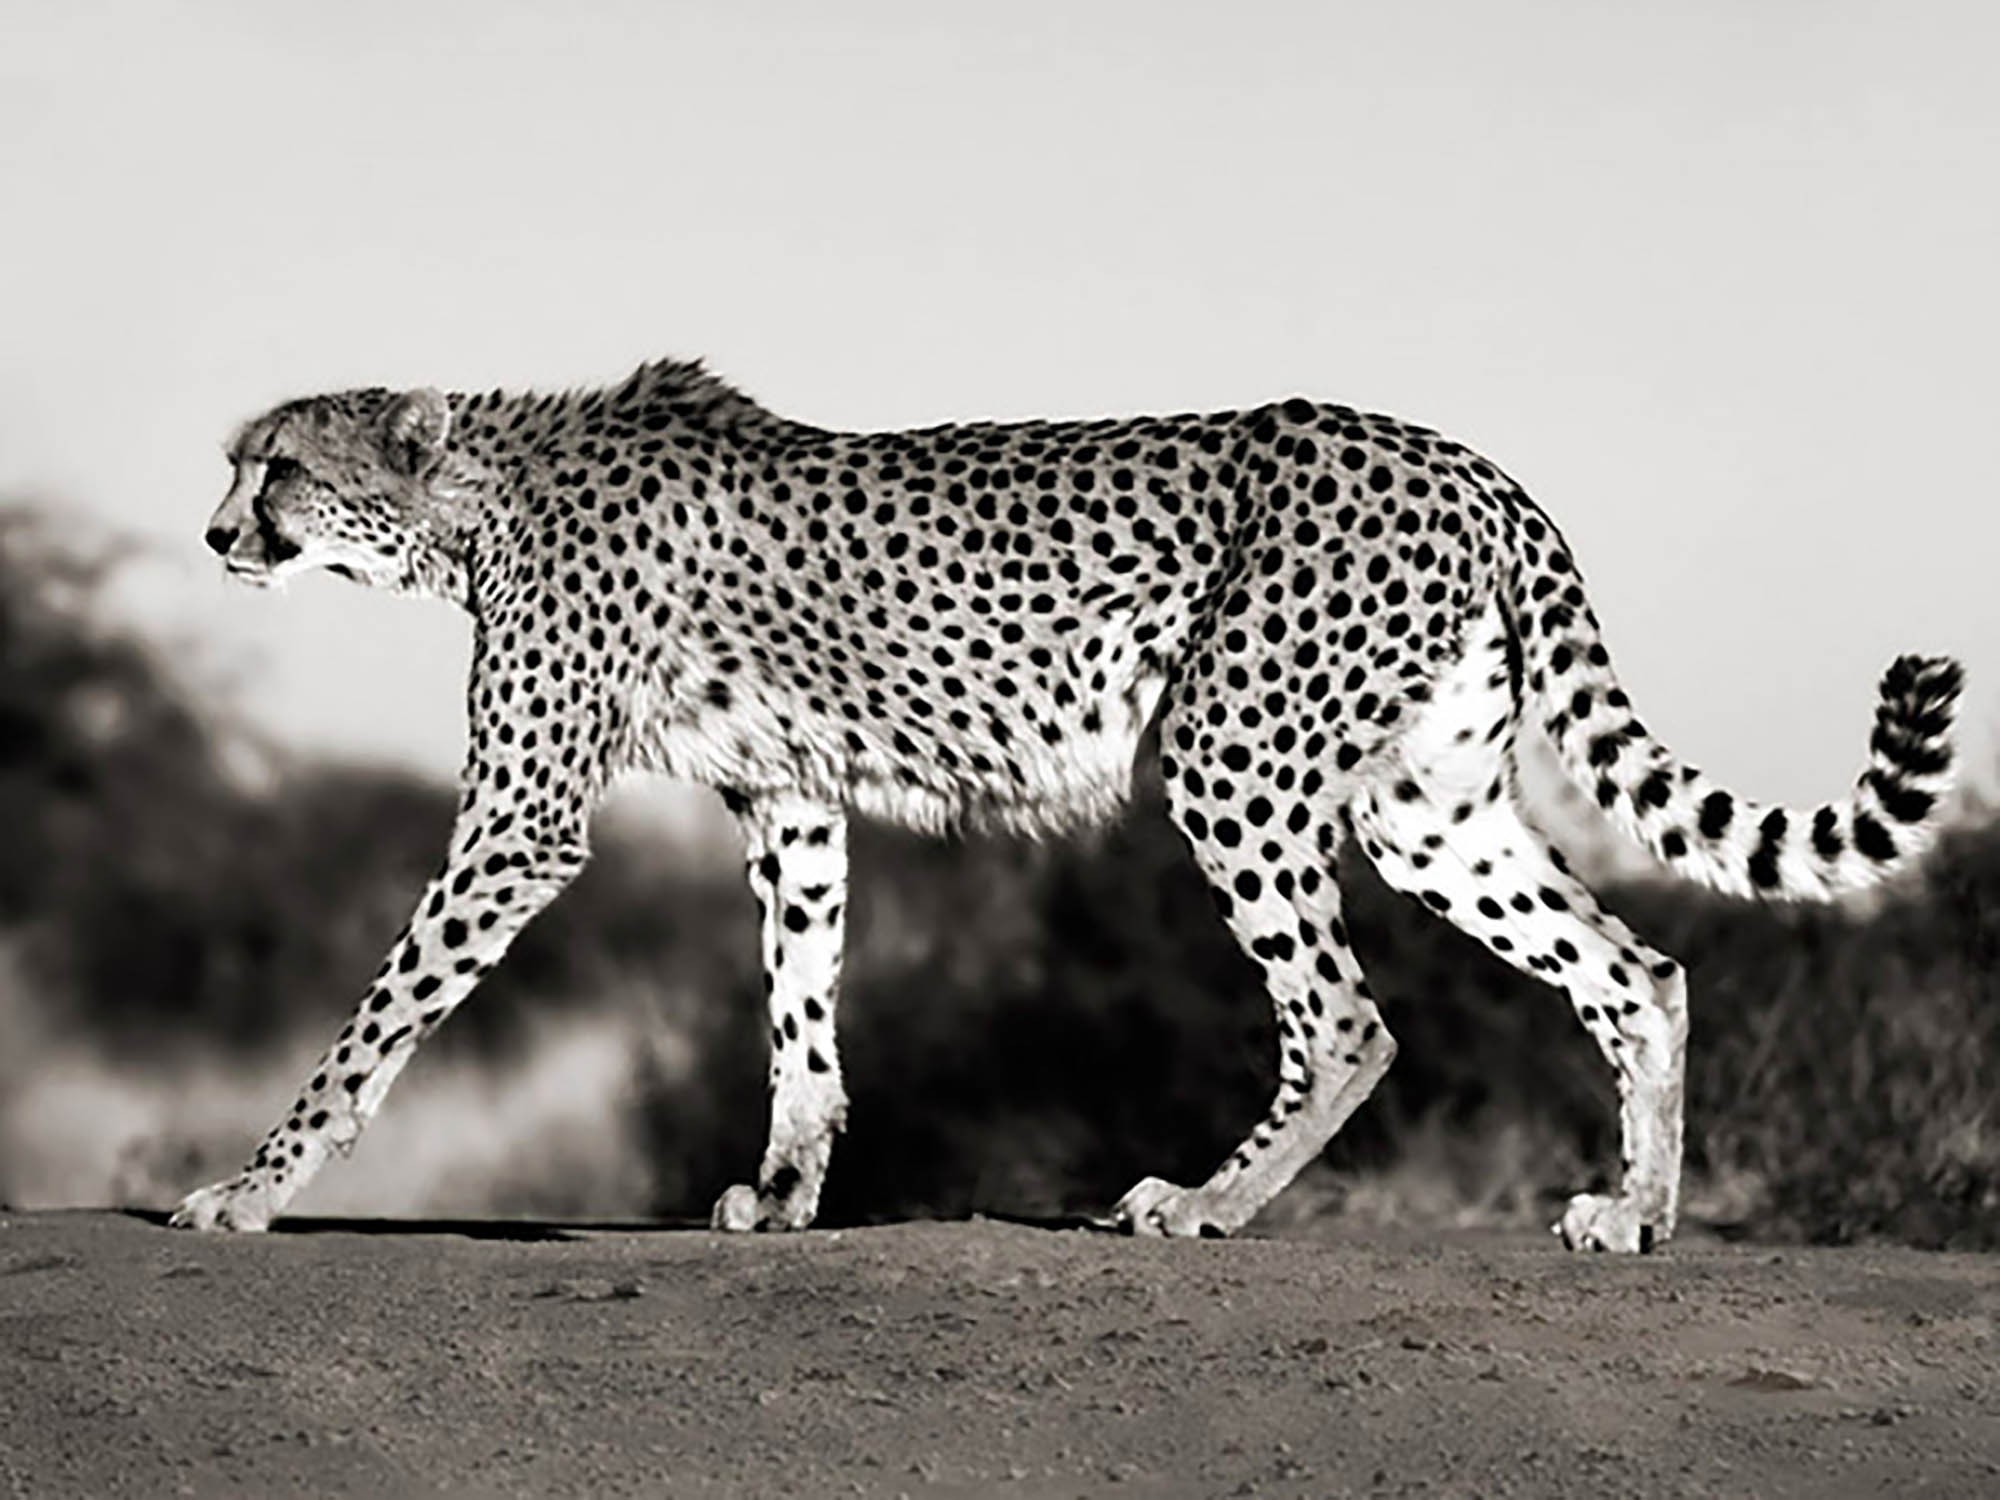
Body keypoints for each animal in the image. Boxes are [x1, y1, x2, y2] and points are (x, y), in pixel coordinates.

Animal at [173, 358, 1964, 1249]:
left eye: (278, 468)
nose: (213, 536)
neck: (480, 499)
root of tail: (1459, 455)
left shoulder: (525, 816)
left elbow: (379, 1018)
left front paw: (249, 1188)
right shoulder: (792, 797)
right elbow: (801, 1009)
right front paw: (788, 1191)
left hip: (1231, 752)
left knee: (1348, 1017)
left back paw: (1206, 1203)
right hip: (1427, 806)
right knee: (1638, 968)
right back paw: (1636, 1214)